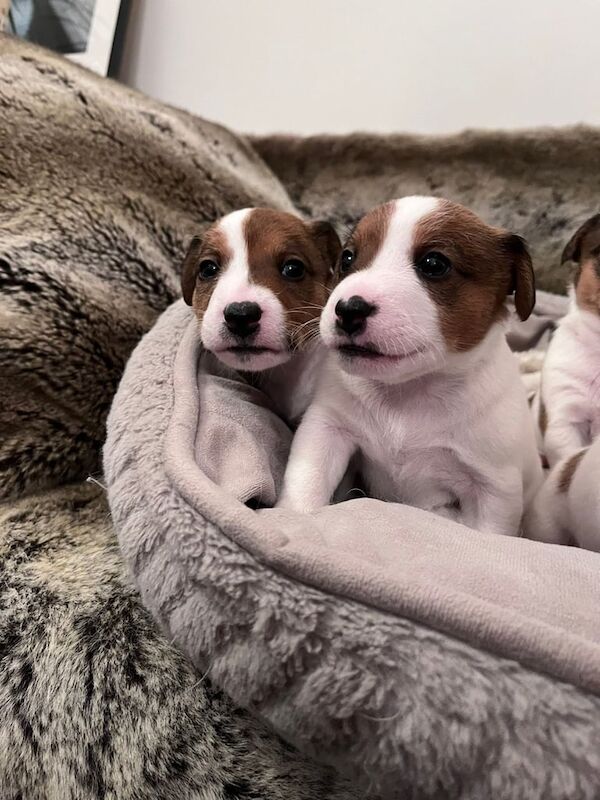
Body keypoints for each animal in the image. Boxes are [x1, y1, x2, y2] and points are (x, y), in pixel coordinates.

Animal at [276, 194, 544, 536]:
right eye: (348, 258)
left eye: (434, 264)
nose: (348, 309)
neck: (407, 393)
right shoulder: (327, 428)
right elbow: (306, 482)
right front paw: (291, 518)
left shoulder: (494, 487)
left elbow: (489, 532)